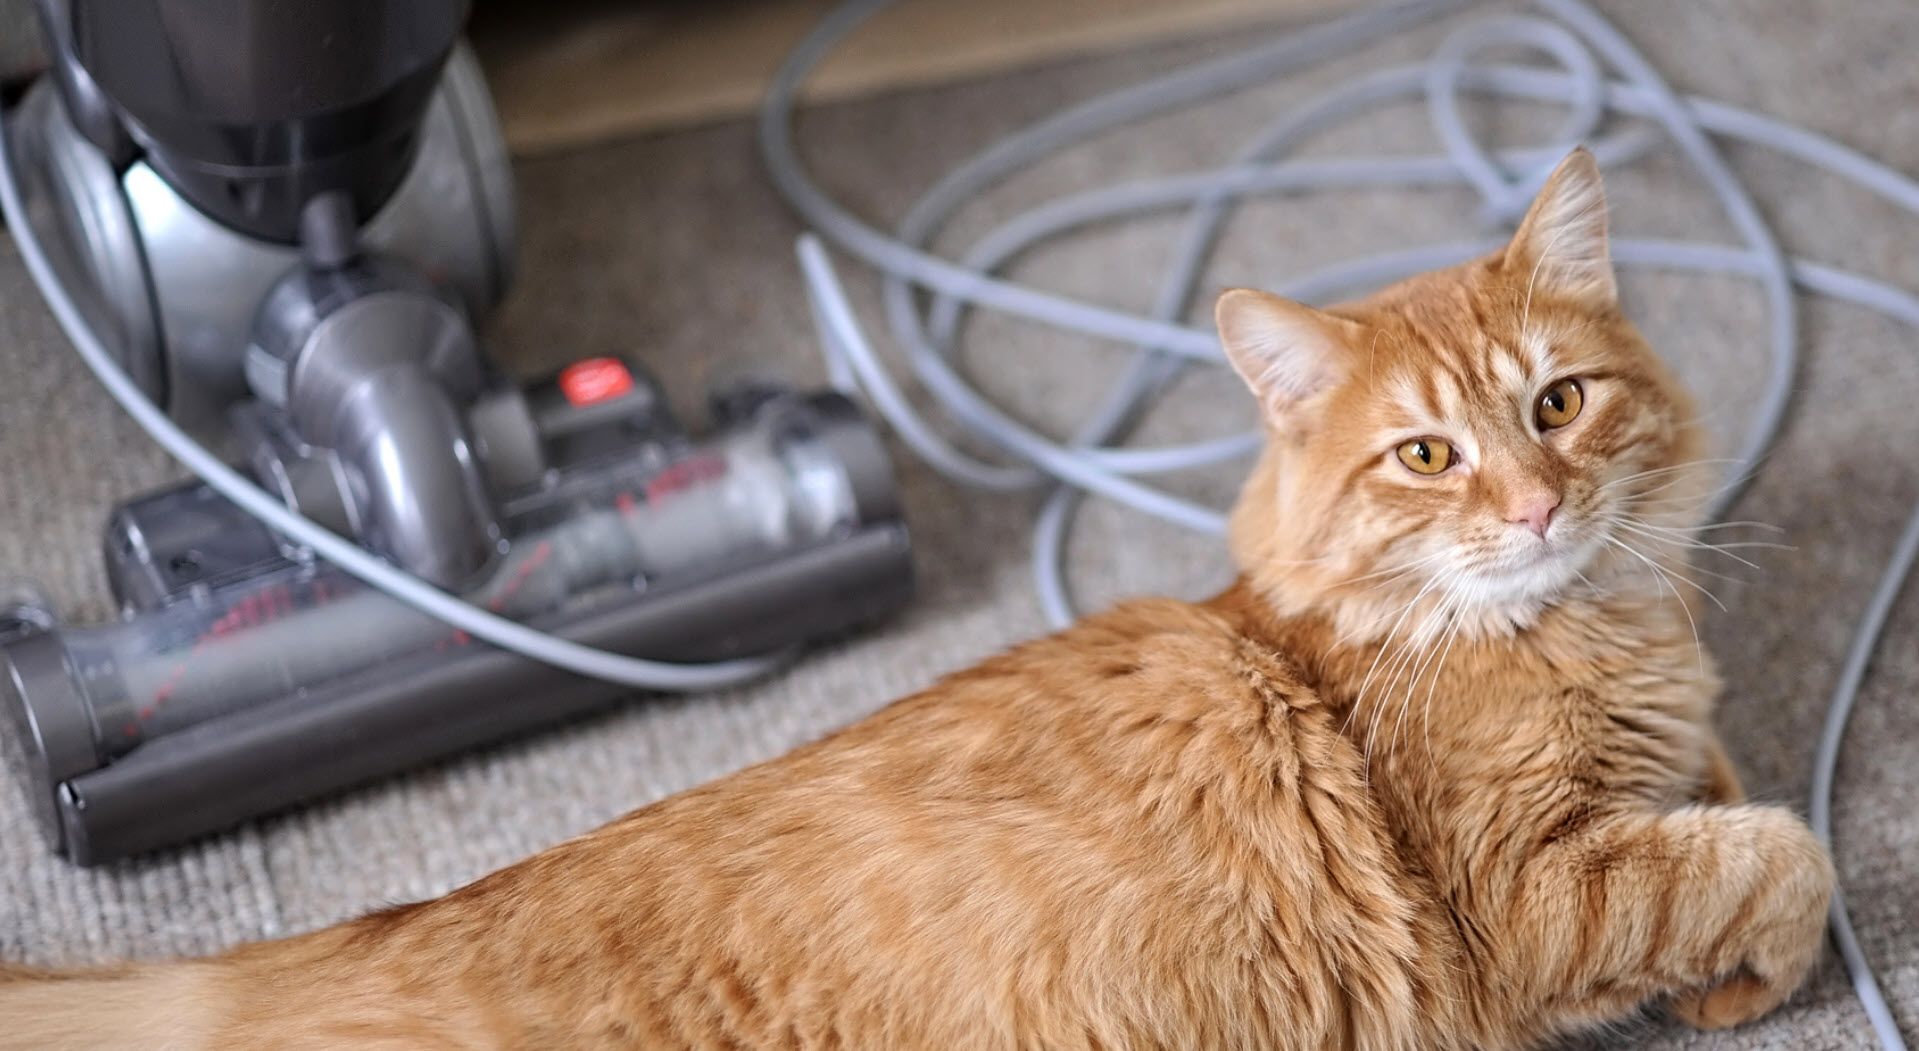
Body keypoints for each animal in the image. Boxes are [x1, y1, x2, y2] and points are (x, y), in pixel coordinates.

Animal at [0, 148, 1834, 1051]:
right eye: (1426, 454)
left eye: (1554, 406)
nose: (1532, 504)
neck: (1579, 628)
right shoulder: (1513, 892)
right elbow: (1774, 854)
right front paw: (1754, 966)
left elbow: (1731, 791)